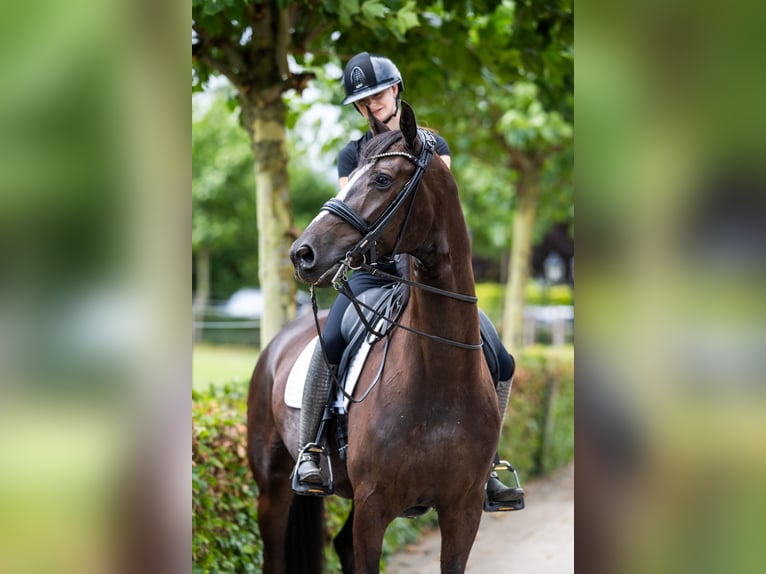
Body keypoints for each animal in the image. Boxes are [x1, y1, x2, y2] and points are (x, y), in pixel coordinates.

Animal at [247, 101, 502, 574]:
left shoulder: (463, 510)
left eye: (382, 179)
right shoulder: (374, 505)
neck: (440, 376)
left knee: (340, 544)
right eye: (353, 178)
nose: (301, 253)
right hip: (272, 487)